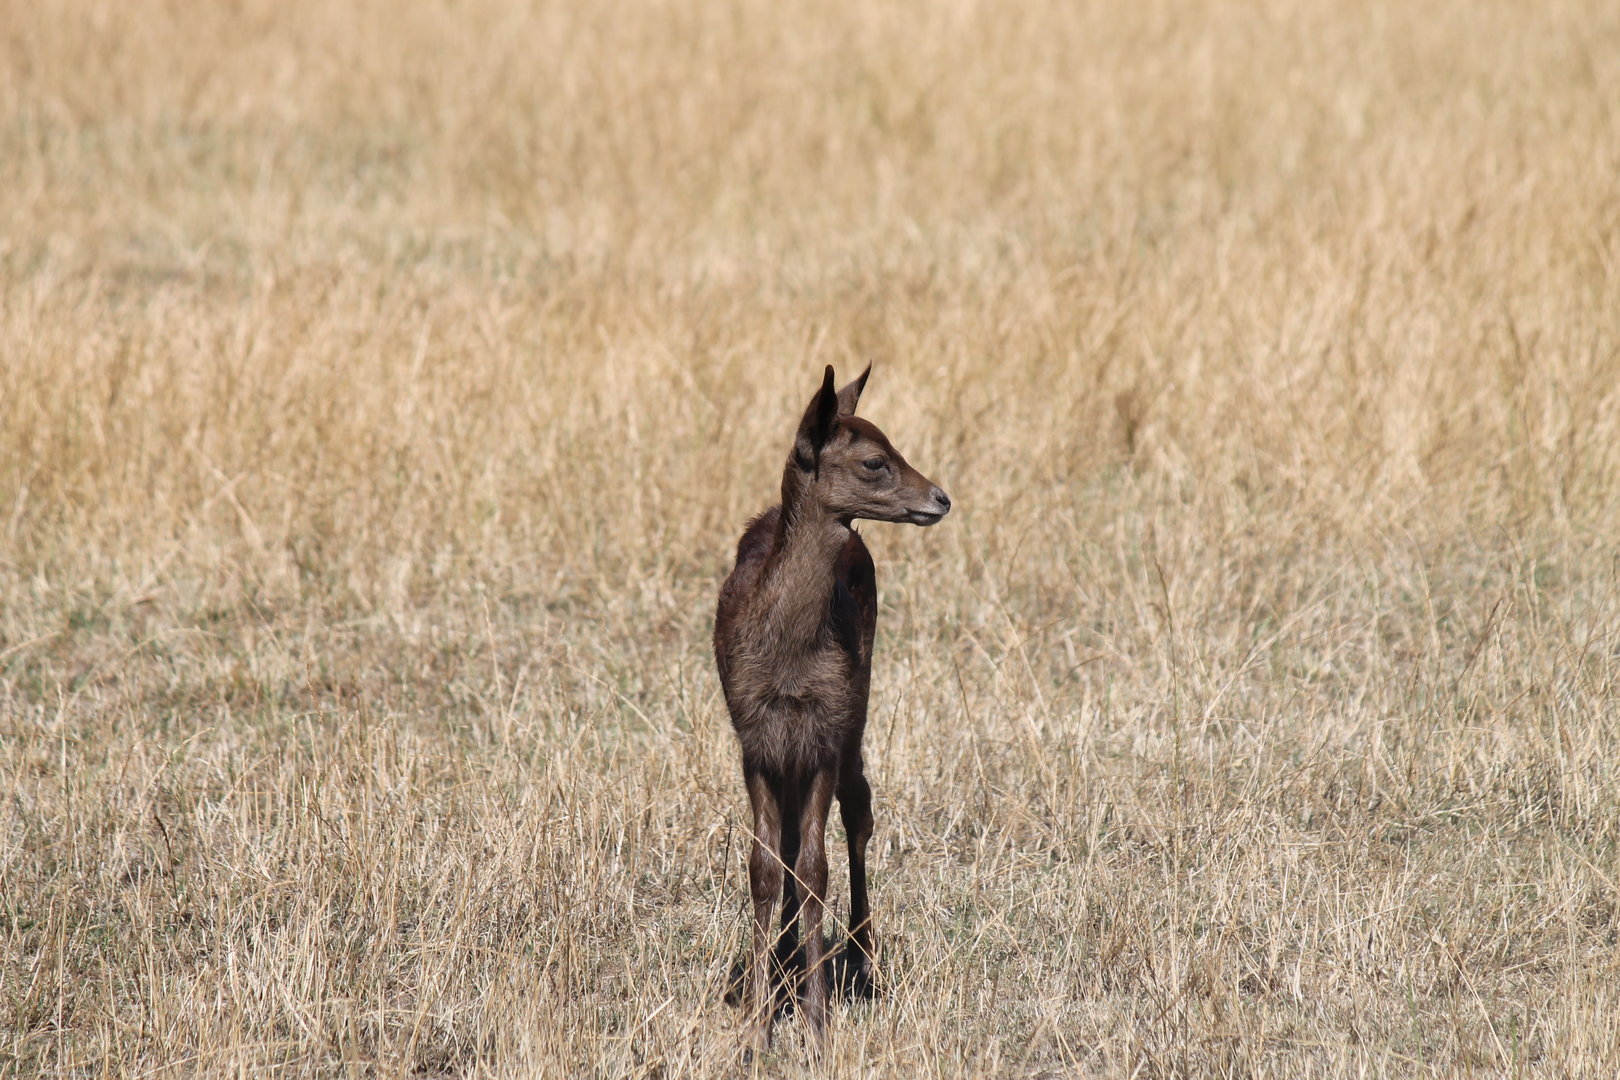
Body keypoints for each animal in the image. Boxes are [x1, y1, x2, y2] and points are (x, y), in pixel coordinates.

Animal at [713, 363, 951, 1055]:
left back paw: (860, 954)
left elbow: (815, 866)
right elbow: (766, 867)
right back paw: (789, 957)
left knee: (859, 810)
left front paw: (818, 1027)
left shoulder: (824, 728)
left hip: (859, 708)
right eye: (875, 461)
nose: (940, 498)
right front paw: (757, 1024)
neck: (791, 659)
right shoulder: (756, 736)